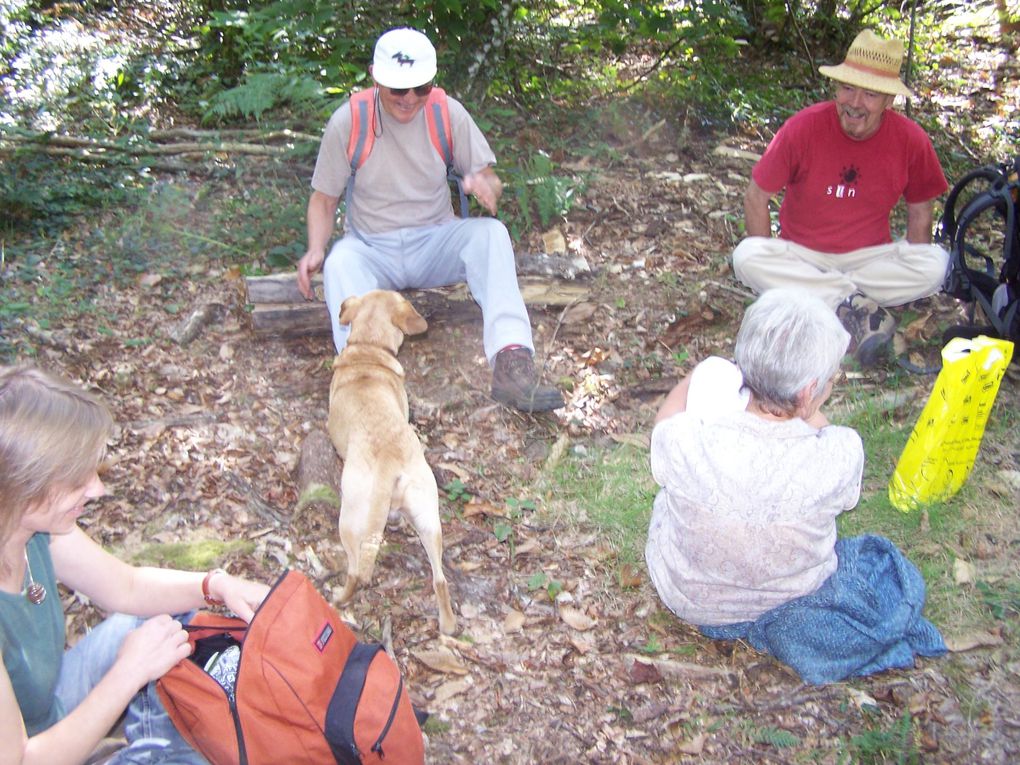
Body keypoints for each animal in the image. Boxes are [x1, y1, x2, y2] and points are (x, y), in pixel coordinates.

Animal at [326, 289, 459, 636]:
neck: (369, 348)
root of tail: (389, 457)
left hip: (350, 520)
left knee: (355, 571)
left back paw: (339, 598)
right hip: (430, 520)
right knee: (440, 579)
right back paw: (448, 625)